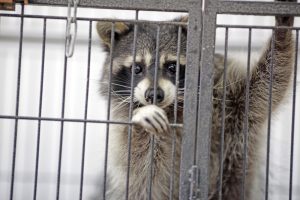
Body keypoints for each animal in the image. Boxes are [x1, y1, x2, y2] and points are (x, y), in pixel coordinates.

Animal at [95, 1, 296, 198]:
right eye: (137, 68)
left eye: (172, 67)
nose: (153, 95)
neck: (176, 106)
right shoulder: (122, 138)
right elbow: (141, 167)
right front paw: (142, 114)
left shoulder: (229, 100)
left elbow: (264, 87)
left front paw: (281, 32)